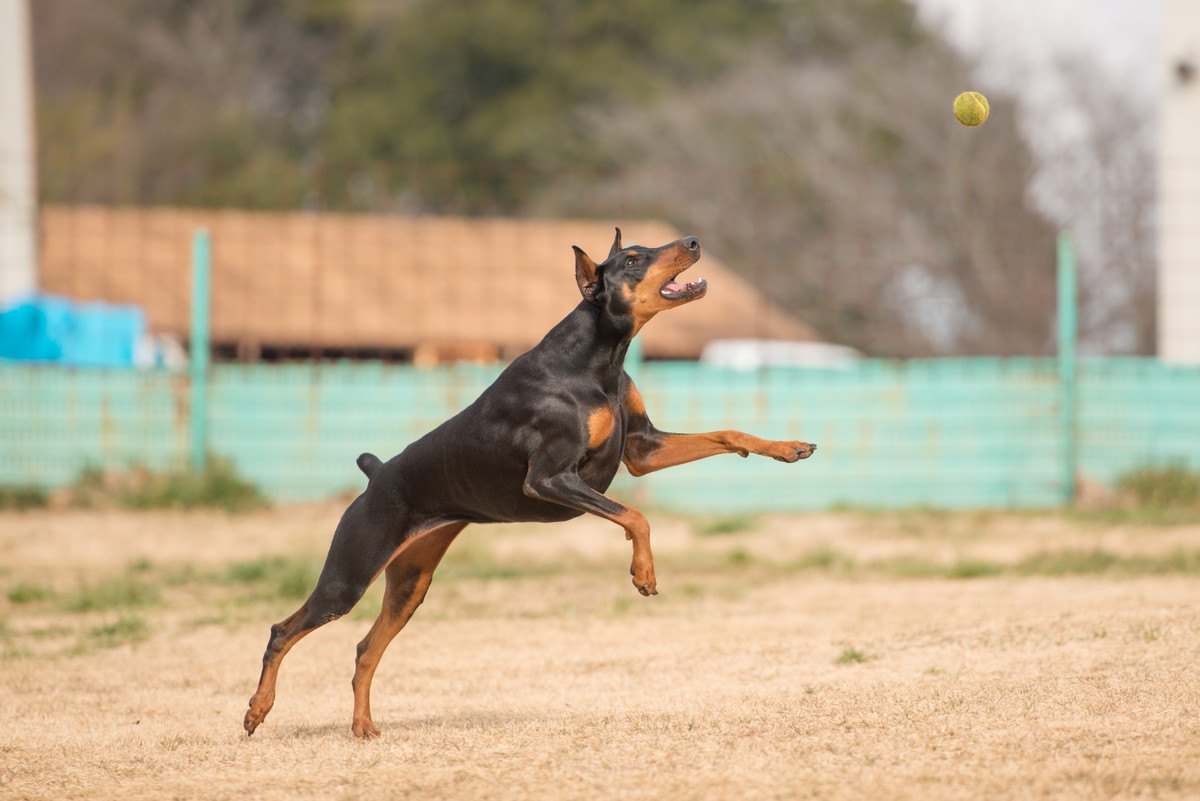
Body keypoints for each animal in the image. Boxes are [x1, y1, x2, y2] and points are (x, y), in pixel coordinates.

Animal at [243, 226, 816, 738]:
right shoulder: (549, 478)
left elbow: (726, 433)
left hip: (411, 582)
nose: (695, 242)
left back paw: (363, 727)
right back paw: (256, 711)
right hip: (350, 572)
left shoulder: (643, 450)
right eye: (633, 258)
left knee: (365, 650)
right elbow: (635, 515)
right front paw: (643, 573)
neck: (597, 360)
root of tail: (377, 473)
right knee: (283, 630)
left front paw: (787, 447)